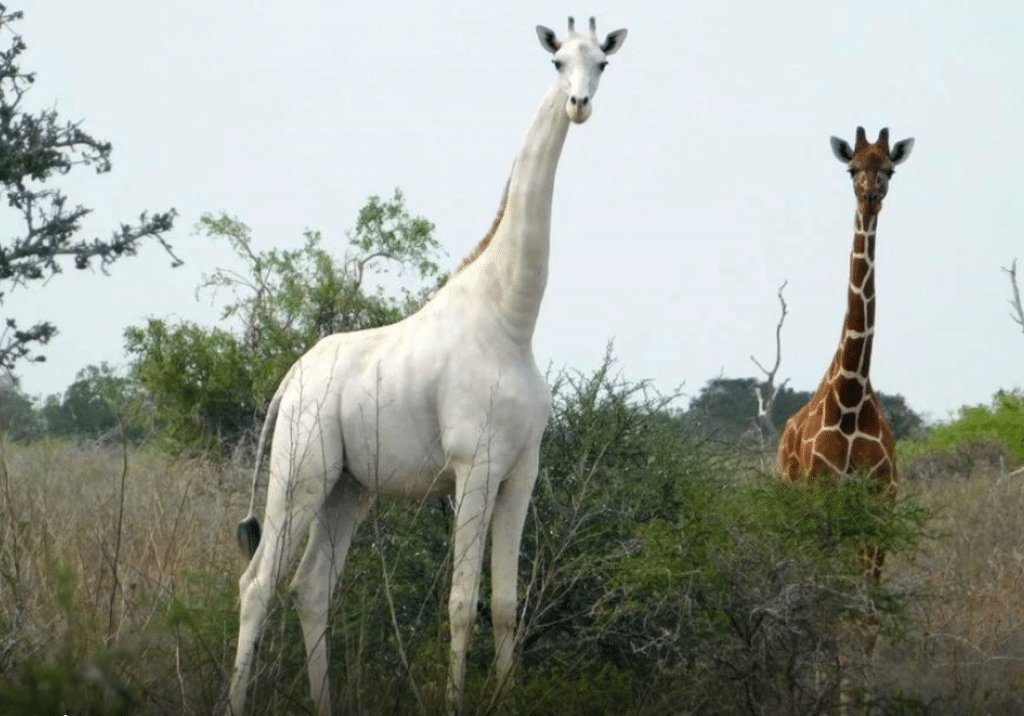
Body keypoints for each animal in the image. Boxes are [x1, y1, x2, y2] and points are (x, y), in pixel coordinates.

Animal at [226, 17, 627, 716]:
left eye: (602, 62)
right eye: (557, 62)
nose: (579, 105)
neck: (510, 320)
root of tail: (288, 381)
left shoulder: (522, 471)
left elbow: (505, 603)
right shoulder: (474, 466)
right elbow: (462, 603)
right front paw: (457, 702)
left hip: (349, 488)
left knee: (310, 586)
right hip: (301, 472)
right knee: (257, 584)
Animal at [777, 126, 915, 569]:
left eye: (889, 169)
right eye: (852, 168)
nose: (871, 195)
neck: (851, 396)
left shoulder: (881, 497)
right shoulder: (821, 490)